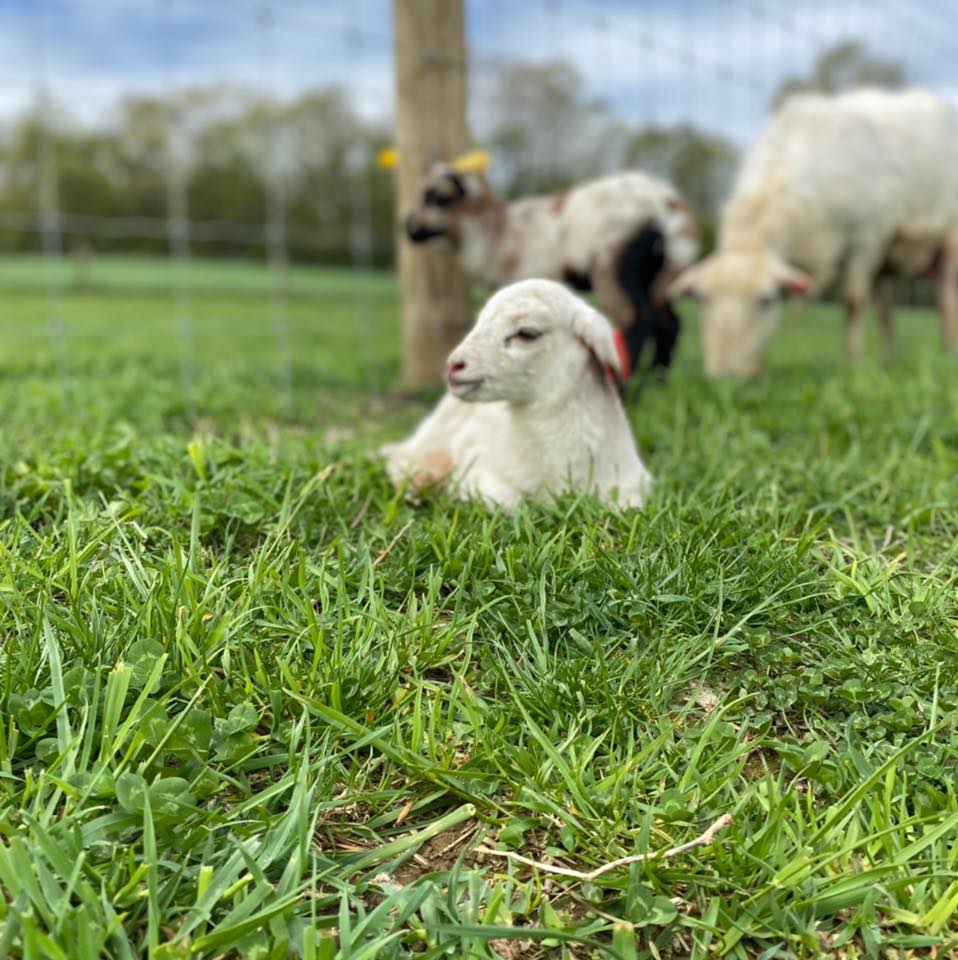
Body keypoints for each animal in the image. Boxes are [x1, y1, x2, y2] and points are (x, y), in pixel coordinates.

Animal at [380, 279, 652, 509]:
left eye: (527, 333)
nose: (453, 365)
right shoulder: (477, 460)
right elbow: (510, 500)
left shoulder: (632, 486)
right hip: (437, 428)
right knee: (400, 454)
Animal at [404, 165, 699, 379]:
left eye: (437, 198)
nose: (408, 228)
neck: (495, 232)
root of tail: (669, 205)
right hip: (658, 272)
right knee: (667, 321)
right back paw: (656, 379)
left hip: (612, 262)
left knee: (635, 318)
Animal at [669, 88, 958, 377]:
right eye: (702, 299)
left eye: (766, 300)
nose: (725, 377)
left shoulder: (866, 238)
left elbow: (853, 302)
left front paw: (851, 363)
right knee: (886, 309)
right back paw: (888, 357)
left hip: (946, 237)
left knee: (945, 299)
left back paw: (948, 352)